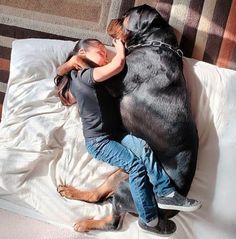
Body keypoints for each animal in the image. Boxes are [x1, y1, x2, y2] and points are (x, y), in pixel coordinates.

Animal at [58, 4, 198, 233]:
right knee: (97, 195)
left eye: (125, 17)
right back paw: (72, 193)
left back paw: (85, 223)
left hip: (129, 189)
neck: (155, 44)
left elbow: (84, 60)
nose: (113, 19)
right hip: (121, 175)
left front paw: (64, 66)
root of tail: (171, 213)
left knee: (114, 223)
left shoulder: (112, 78)